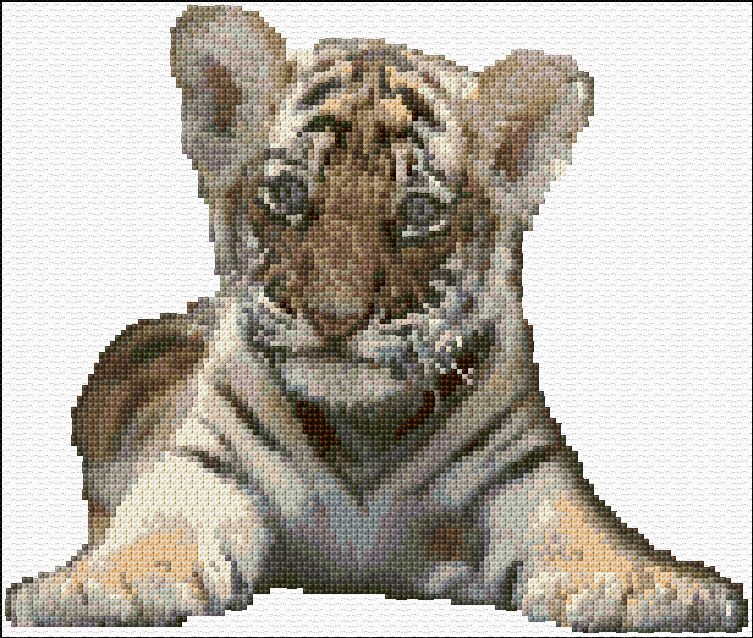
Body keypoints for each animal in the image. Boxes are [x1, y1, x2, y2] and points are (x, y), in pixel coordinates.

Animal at [5, 5, 748, 632]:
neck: (364, 431)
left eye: (418, 212)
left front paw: (650, 586)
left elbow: (581, 529)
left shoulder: (525, 470)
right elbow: (155, 525)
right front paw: (96, 585)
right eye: (287, 194)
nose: (334, 317)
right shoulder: (206, 460)